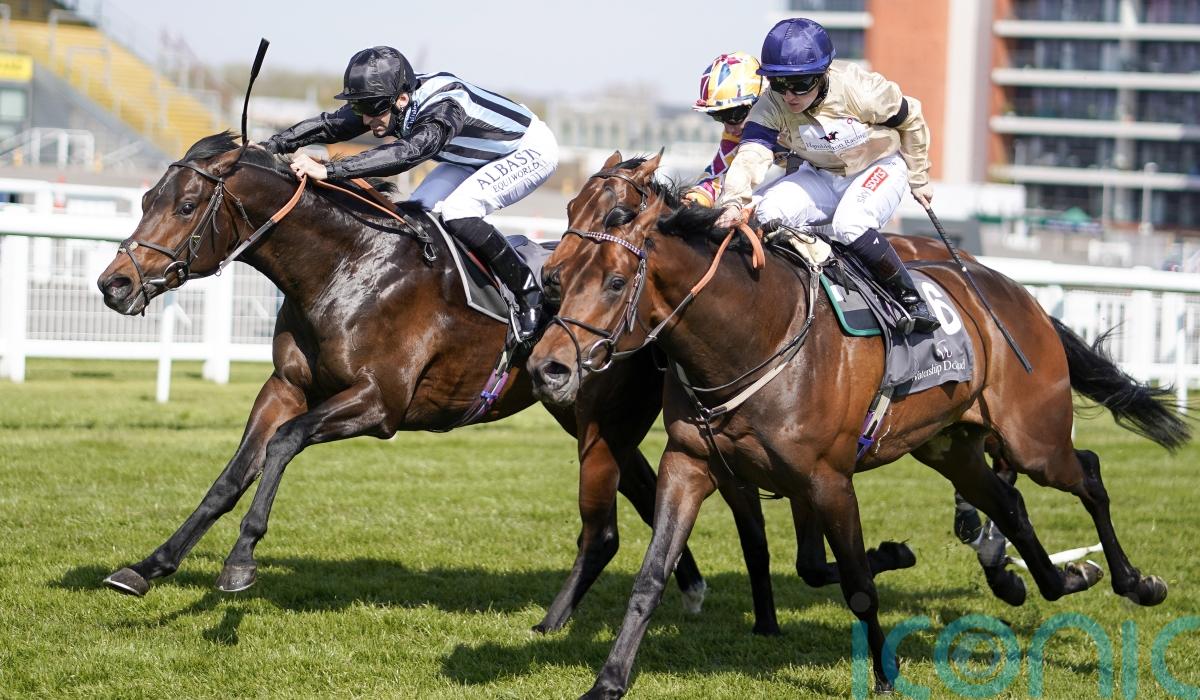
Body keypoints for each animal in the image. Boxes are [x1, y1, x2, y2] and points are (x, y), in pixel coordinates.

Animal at [93, 132, 718, 636]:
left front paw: (241, 559)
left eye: (187, 205)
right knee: (642, 489)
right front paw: (148, 567)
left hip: (599, 417)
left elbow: (284, 443)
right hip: (583, 416)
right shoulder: (285, 387)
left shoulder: (379, 405)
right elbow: (230, 476)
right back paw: (688, 588)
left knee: (614, 516)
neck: (345, 266)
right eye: (146, 200)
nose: (113, 285)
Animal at [527, 152, 1190, 697]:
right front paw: (608, 682)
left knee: (1089, 475)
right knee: (1009, 503)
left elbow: (855, 583)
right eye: (570, 214)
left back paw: (1136, 583)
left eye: (615, 281)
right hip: (950, 447)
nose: (547, 366)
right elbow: (652, 577)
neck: (754, 334)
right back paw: (1053, 578)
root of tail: (1017, 294)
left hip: (1034, 439)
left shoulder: (827, 479)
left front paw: (886, 672)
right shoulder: (692, 464)